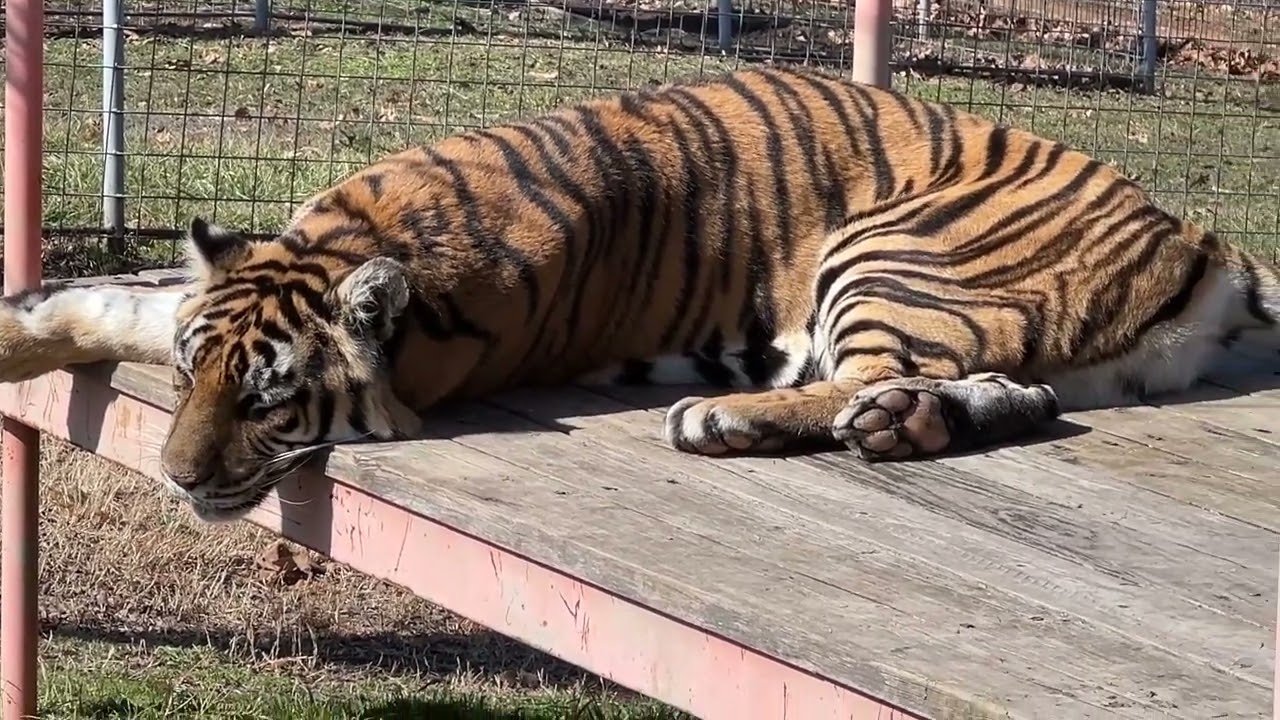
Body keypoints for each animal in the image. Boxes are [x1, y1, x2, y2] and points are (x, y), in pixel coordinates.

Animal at [0, 65, 1276, 523]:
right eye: (198, 383)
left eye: (270, 402)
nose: (176, 477)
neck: (354, 232)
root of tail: (1199, 236)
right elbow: (108, 301)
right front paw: (22, 329)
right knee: (1014, 395)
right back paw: (903, 425)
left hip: (885, 252)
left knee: (860, 375)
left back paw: (728, 418)